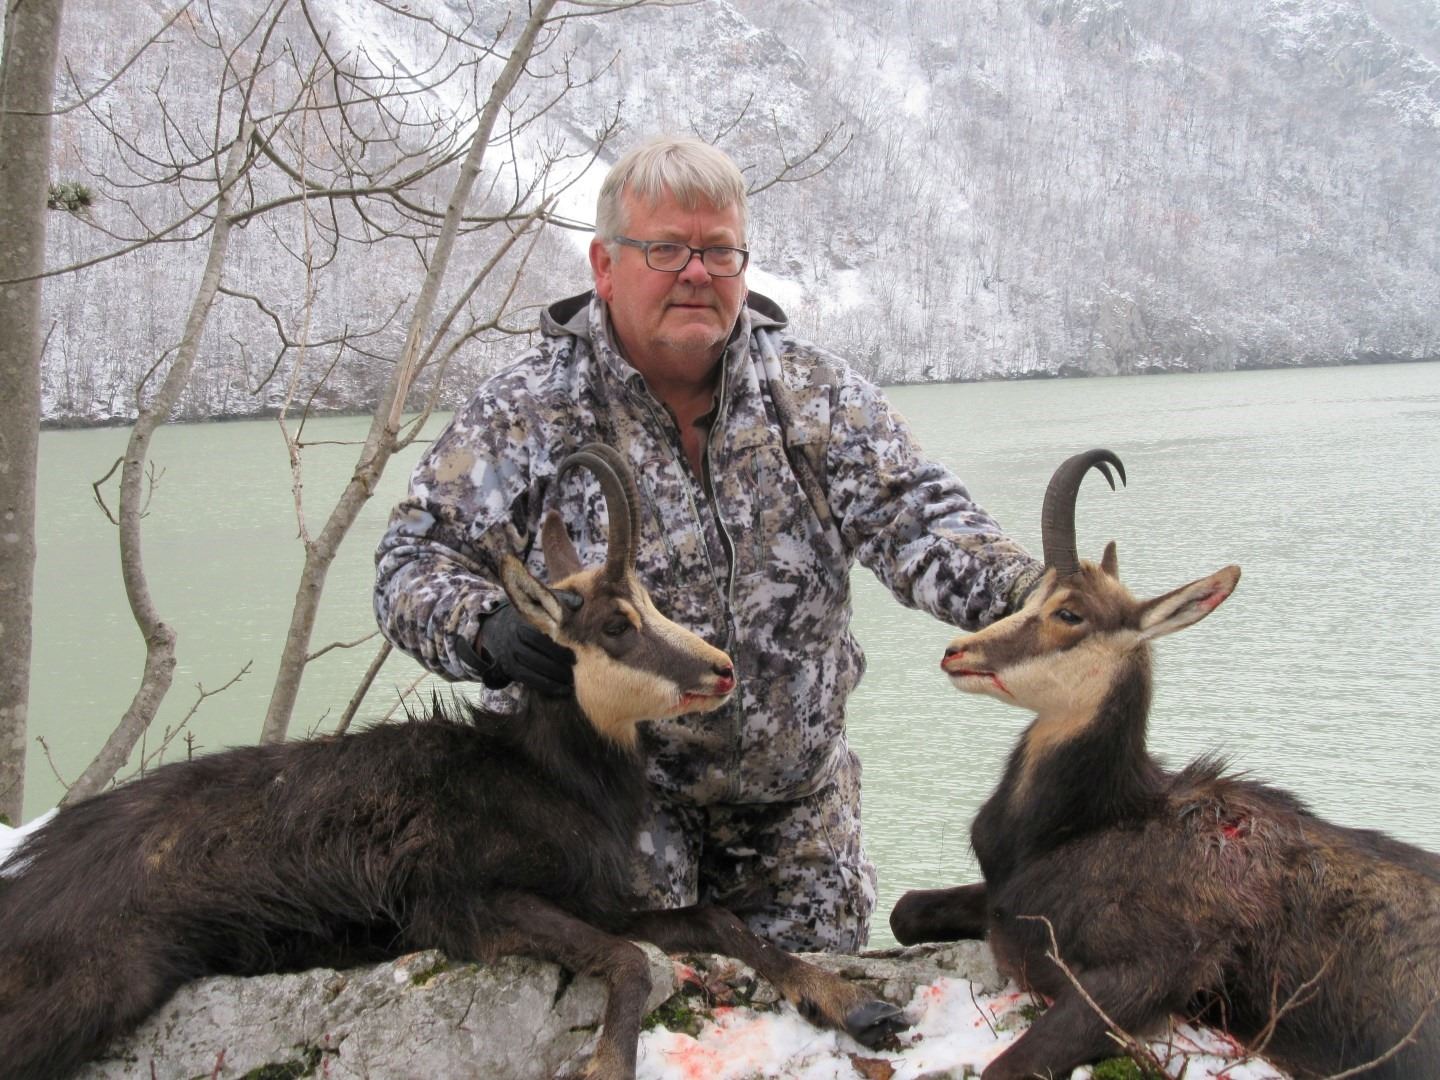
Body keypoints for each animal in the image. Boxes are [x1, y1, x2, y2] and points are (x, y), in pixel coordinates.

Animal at [0, 443, 905, 1080]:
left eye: (651, 600)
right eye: (615, 625)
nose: (720, 669)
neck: (544, 779)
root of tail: (29, 872)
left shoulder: (591, 897)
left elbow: (713, 922)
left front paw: (854, 1006)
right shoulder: (466, 904)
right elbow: (629, 962)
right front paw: (604, 1067)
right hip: (93, 985)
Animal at [888, 449, 1440, 1080]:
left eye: (1070, 613)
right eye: (1028, 600)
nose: (958, 652)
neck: (1087, 822)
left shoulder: (1152, 967)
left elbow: (1009, 1065)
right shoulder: (1003, 901)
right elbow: (904, 912)